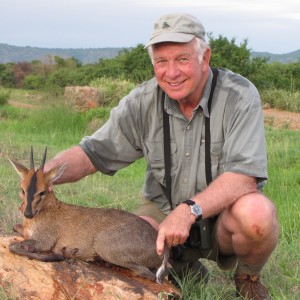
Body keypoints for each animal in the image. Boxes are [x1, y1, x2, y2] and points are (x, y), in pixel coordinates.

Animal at [8, 148, 169, 284]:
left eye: (42, 192)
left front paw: (60, 254)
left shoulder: (45, 241)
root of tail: (163, 248)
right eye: (22, 190)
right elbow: (15, 228)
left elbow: (14, 247)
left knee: (149, 274)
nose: (28, 213)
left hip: (104, 246)